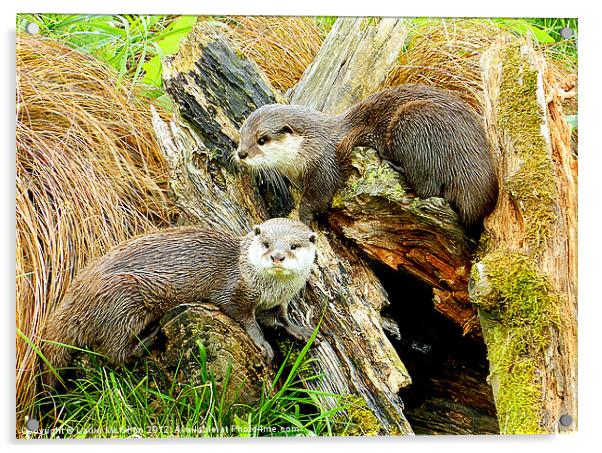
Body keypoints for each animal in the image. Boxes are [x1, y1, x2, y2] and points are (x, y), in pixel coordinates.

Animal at [41, 218, 318, 384]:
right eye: (266, 243)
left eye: (294, 246)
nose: (277, 257)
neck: (269, 290)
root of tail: (75, 294)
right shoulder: (234, 291)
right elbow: (245, 319)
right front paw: (263, 344)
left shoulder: (278, 303)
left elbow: (279, 319)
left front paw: (303, 332)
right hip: (121, 297)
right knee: (115, 352)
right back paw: (150, 337)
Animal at [234, 84, 496, 231]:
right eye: (241, 134)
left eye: (262, 139)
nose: (241, 153)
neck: (311, 145)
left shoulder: (325, 164)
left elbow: (319, 196)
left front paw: (303, 218)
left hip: (414, 121)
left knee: (427, 187)